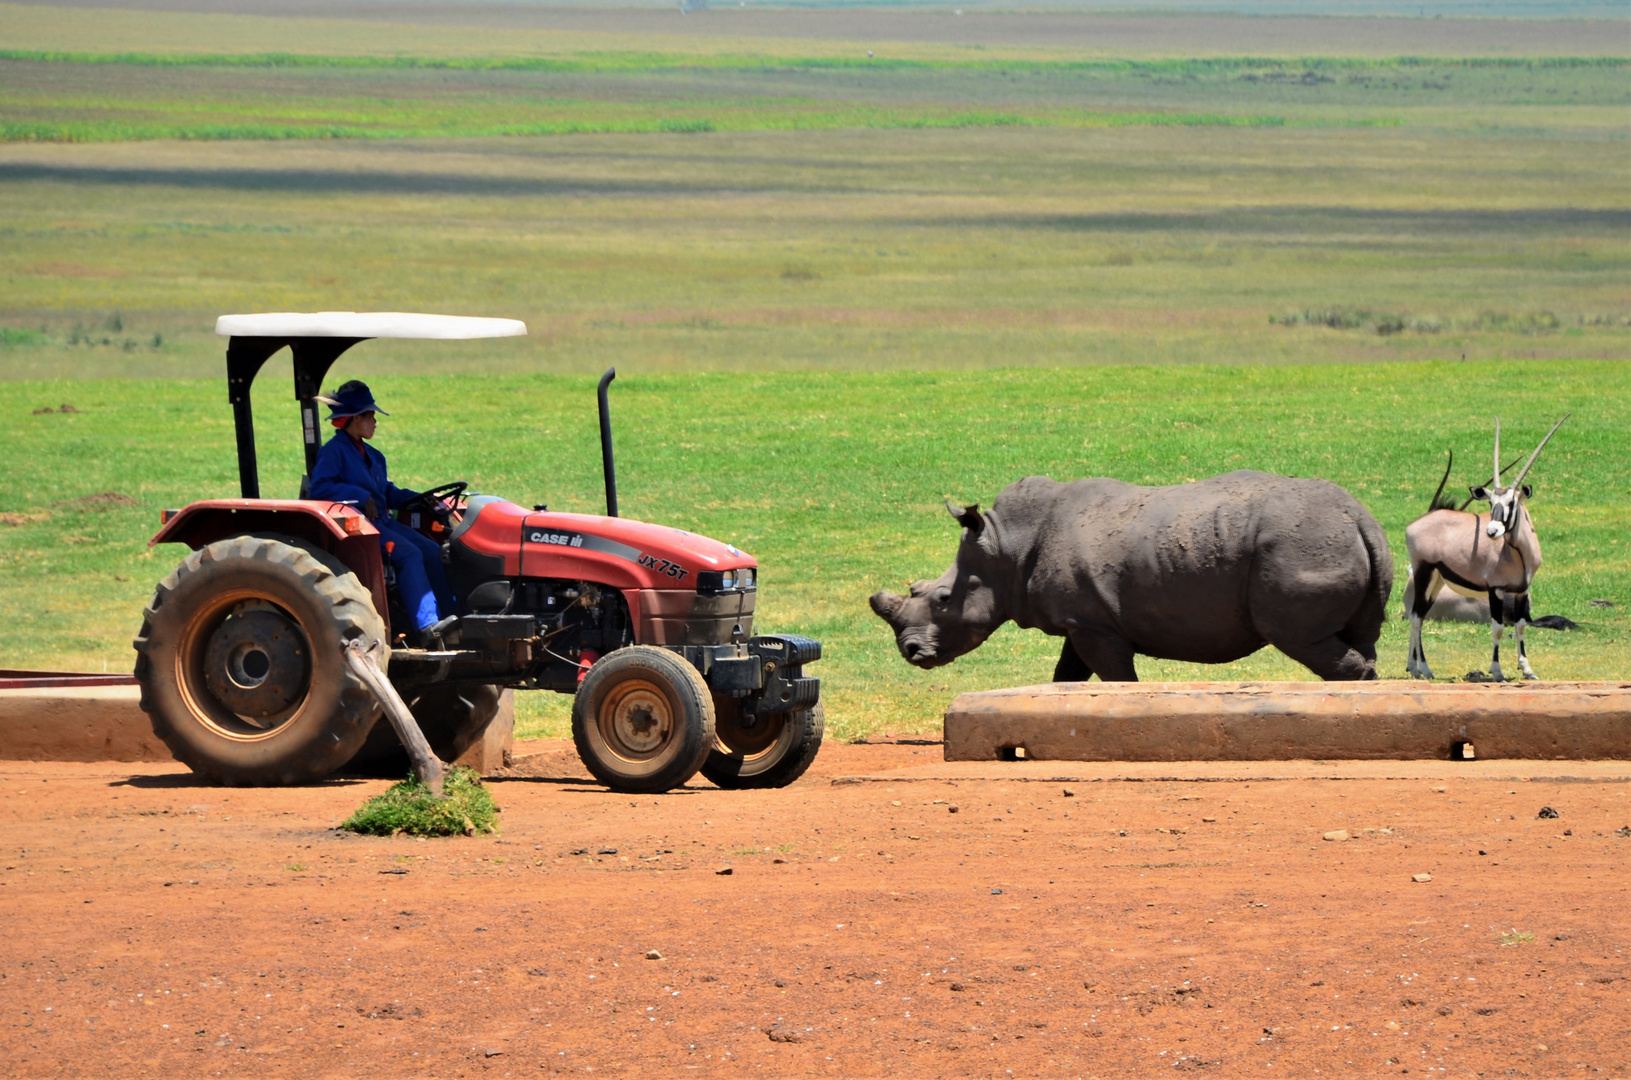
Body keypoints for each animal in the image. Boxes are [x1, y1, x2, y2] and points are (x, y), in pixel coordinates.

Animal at [1402, 417, 1565, 681]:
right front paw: (1497, 671)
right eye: (1491, 503)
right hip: (1424, 572)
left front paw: (1527, 669)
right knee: (1417, 617)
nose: (1492, 531)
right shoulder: (1495, 589)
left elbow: (1521, 625)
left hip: (1437, 580)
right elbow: (1497, 627)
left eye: (1512, 502)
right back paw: (1423, 668)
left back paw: (1416, 667)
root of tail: (1415, 524)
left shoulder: (1522, 590)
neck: (1516, 554)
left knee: (1421, 615)